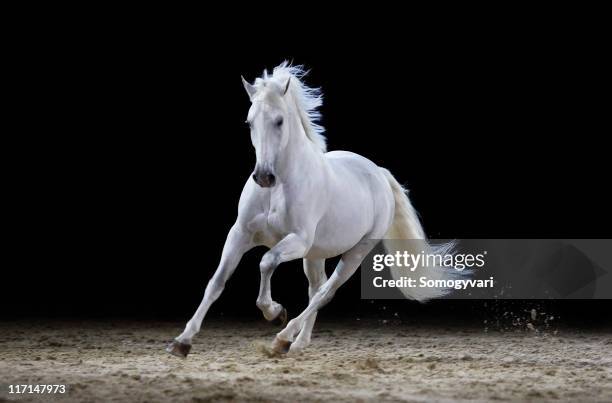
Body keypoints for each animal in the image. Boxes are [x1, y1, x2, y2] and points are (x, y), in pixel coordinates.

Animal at [167, 61, 460, 358]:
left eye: (279, 121)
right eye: (249, 122)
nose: (263, 177)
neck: (278, 188)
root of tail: (379, 172)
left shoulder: (297, 239)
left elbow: (266, 261)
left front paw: (274, 312)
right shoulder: (240, 234)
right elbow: (216, 282)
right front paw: (182, 342)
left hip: (356, 251)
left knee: (325, 292)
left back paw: (283, 337)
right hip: (315, 254)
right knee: (317, 288)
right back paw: (297, 343)